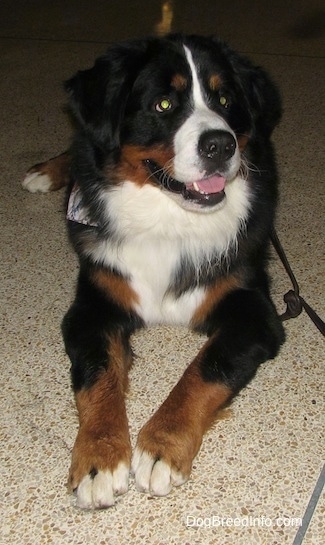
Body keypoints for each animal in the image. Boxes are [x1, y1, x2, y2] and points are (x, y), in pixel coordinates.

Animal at [22, 35, 284, 510]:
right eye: (163, 104)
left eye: (224, 100)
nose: (221, 145)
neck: (169, 221)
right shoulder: (95, 304)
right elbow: (98, 376)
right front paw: (99, 458)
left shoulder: (253, 311)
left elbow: (203, 372)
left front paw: (162, 446)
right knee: (83, 144)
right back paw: (46, 171)